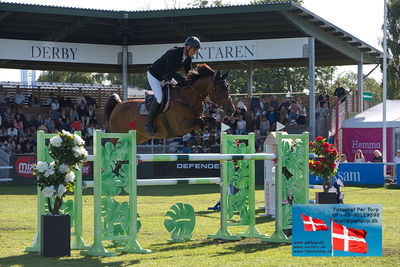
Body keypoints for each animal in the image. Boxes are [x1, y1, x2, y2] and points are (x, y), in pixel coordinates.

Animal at [104, 64, 234, 146]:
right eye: (220, 89)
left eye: (227, 87)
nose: (231, 110)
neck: (186, 98)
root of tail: (117, 105)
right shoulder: (180, 126)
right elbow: (200, 122)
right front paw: (197, 141)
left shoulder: (197, 117)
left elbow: (211, 120)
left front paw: (209, 140)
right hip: (118, 137)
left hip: (139, 137)